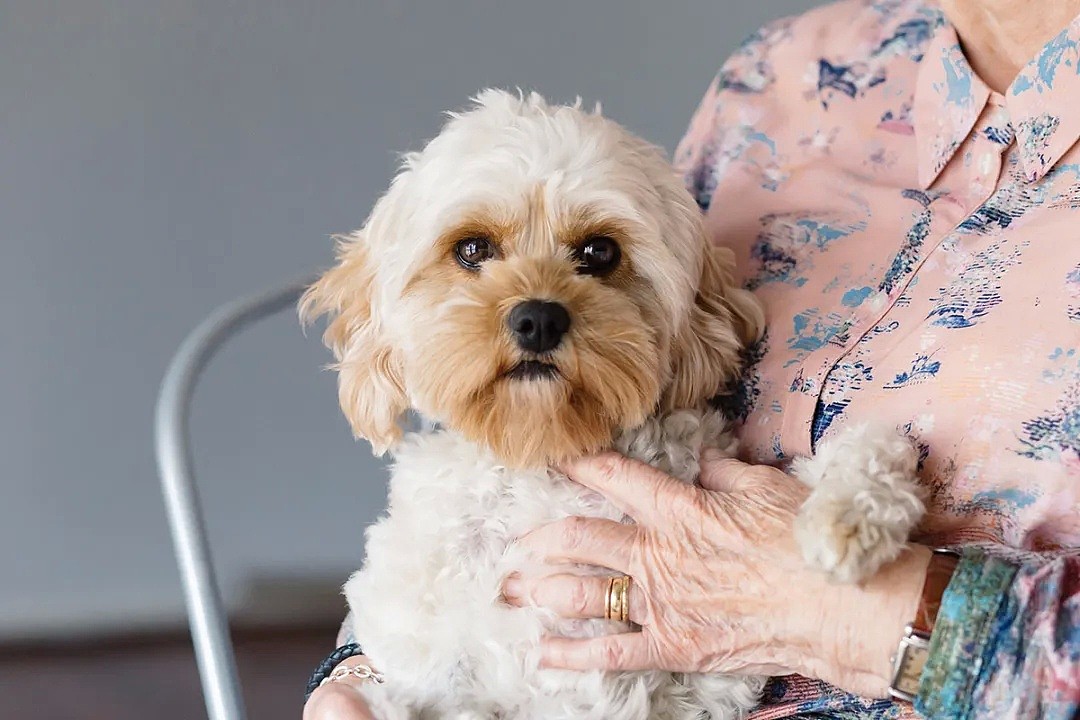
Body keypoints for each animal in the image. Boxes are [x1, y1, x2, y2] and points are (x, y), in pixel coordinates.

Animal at [300, 91, 924, 720]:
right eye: (472, 248)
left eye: (599, 251)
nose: (538, 319)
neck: (543, 455)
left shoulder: (708, 677)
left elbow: (865, 454)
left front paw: (846, 521)